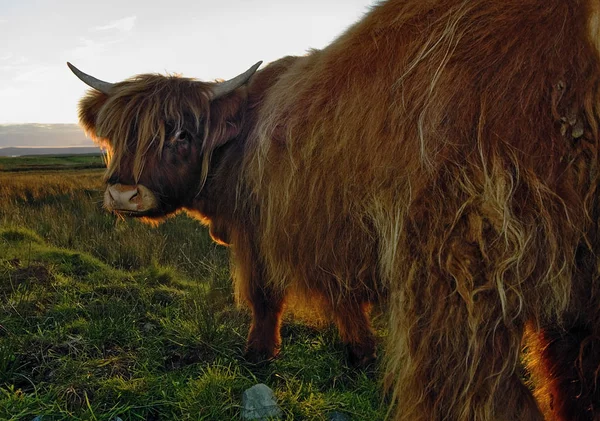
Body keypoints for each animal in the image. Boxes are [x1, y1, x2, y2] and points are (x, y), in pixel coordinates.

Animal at [68, 0, 600, 418]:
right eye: (117, 136)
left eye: (181, 134)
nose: (123, 195)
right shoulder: (335, 235)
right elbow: (346, 299)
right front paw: (361, 354)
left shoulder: (260, 232)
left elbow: (265, 297)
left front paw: (259, 355)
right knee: (574, 374)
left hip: (459, 264)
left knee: (475, 388)